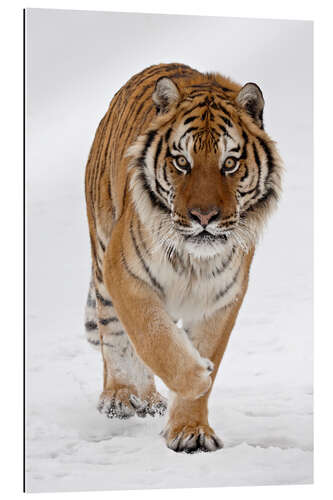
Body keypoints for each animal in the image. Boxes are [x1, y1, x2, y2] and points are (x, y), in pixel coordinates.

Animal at [84, 62, 282, 454]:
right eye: (181, 162)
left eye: (230, 163)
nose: (203, 216)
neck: (194, 261)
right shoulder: (126, 274)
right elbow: (153, 337)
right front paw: (198, 376)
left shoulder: (219, 298)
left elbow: (200, 347)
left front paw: (191, 430)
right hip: (102, 258)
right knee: (114, 335)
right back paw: (120, 397)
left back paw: (149, 401)